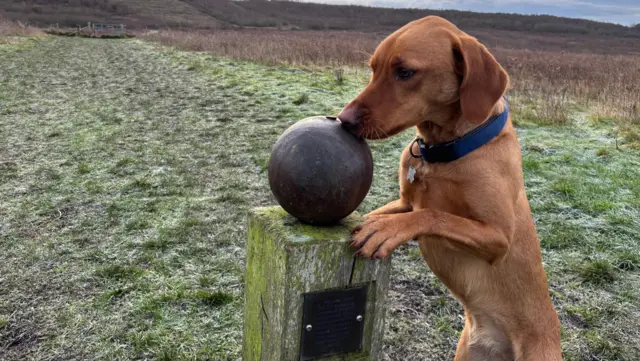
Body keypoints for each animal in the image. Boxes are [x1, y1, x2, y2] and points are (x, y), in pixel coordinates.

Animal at [338, 16, 564, 360]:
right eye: (373, 68)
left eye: (405, 72)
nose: (343, 120)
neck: (442, 151)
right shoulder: (404, 202)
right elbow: (387, 212)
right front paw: (371, 221)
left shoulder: (498, 237)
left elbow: (435, 215)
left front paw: (385, 230)